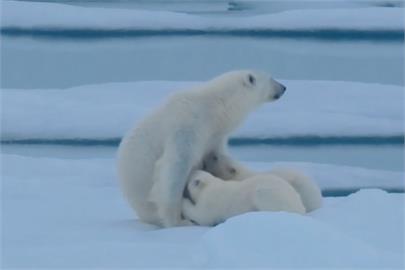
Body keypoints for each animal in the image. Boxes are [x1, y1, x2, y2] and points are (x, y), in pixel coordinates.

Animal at [117, 70, 288, 227]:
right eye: (271, 78)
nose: (284, 87)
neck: (215, 107)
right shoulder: (188, 126)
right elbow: (174, 167)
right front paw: (177, 221)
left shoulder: (214, 136)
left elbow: (218, 161)